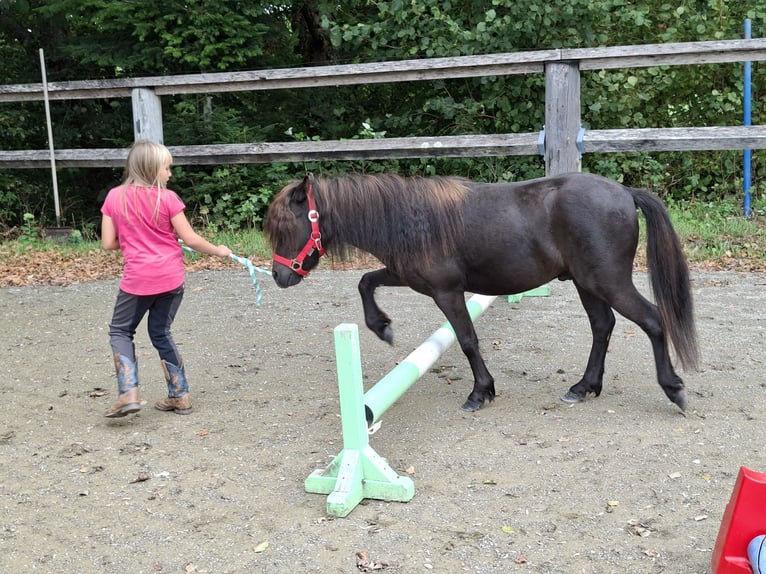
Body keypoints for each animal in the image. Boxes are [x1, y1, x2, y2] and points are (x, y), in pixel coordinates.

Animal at [263, 171, 699, 413]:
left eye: (287, 227)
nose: (279, 276)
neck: (411, 218)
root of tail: (625, 193)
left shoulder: (447, 292)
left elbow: (468, 340)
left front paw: (480, 392)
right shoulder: (411, 277)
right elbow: (365, 281)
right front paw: (381, 327)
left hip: (606, 281)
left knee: (652, 320)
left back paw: (673, 388)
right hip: (587, 284)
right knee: (602, 326)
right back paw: (583, 387)